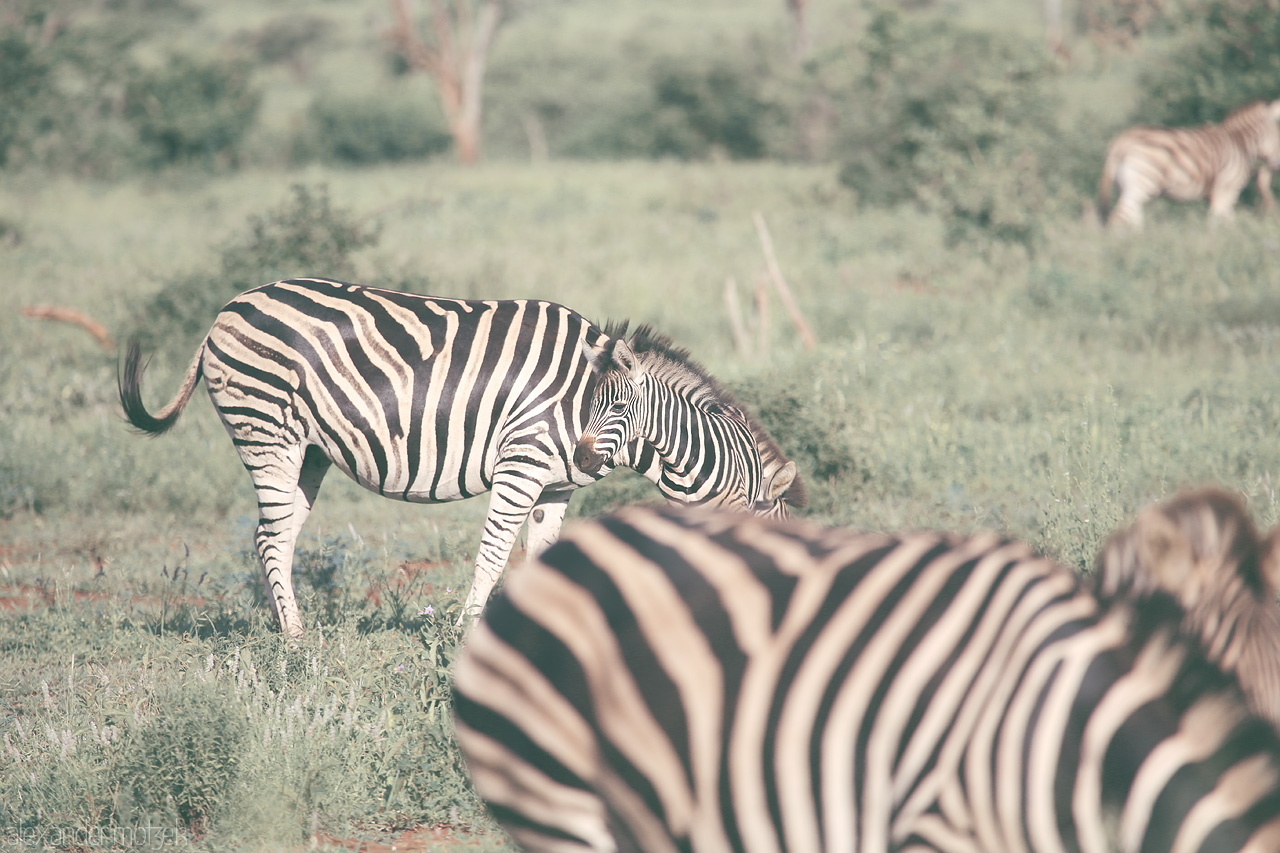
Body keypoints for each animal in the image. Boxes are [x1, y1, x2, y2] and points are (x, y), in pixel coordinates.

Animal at [1095, 98, 1280, 229]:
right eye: (1279, 134)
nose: (1275, 167)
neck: (1240, 142)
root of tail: (1122, 139)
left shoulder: (1220, 196)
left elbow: (1227, 222)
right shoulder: (1226, 191)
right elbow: (1219, 223)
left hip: (1131, 188)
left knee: (1132, 219)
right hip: (1143, 184)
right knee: (1118, 218)